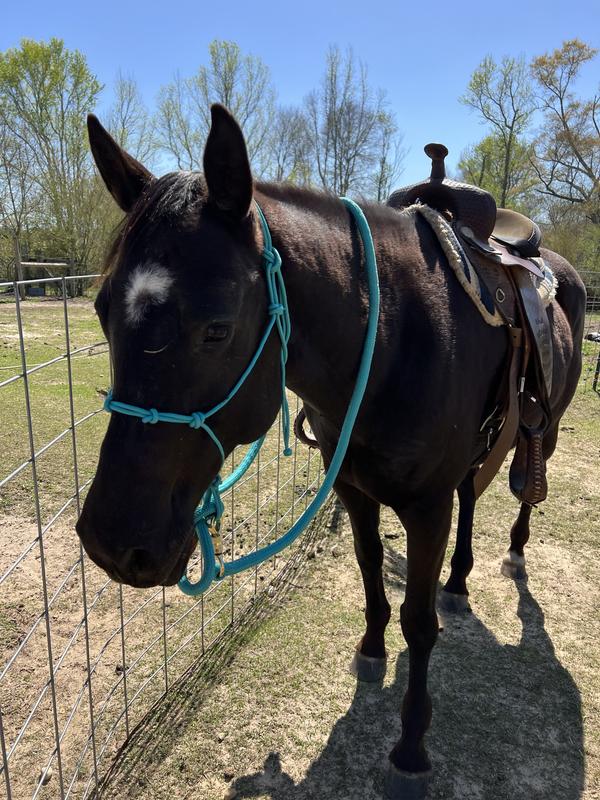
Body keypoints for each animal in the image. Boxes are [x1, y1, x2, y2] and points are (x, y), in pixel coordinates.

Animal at [76, 104, 586, 798]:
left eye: (217, 328)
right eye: (103, 310)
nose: (111, 541)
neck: (397, 337)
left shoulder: (426, 509)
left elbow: (418, 622)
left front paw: (411, 747)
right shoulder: (351, 485)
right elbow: (371, 568)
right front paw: (372, 649)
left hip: (543, 433)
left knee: (522, 491)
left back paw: (510, 555)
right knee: (471, 495)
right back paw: (459, 580)